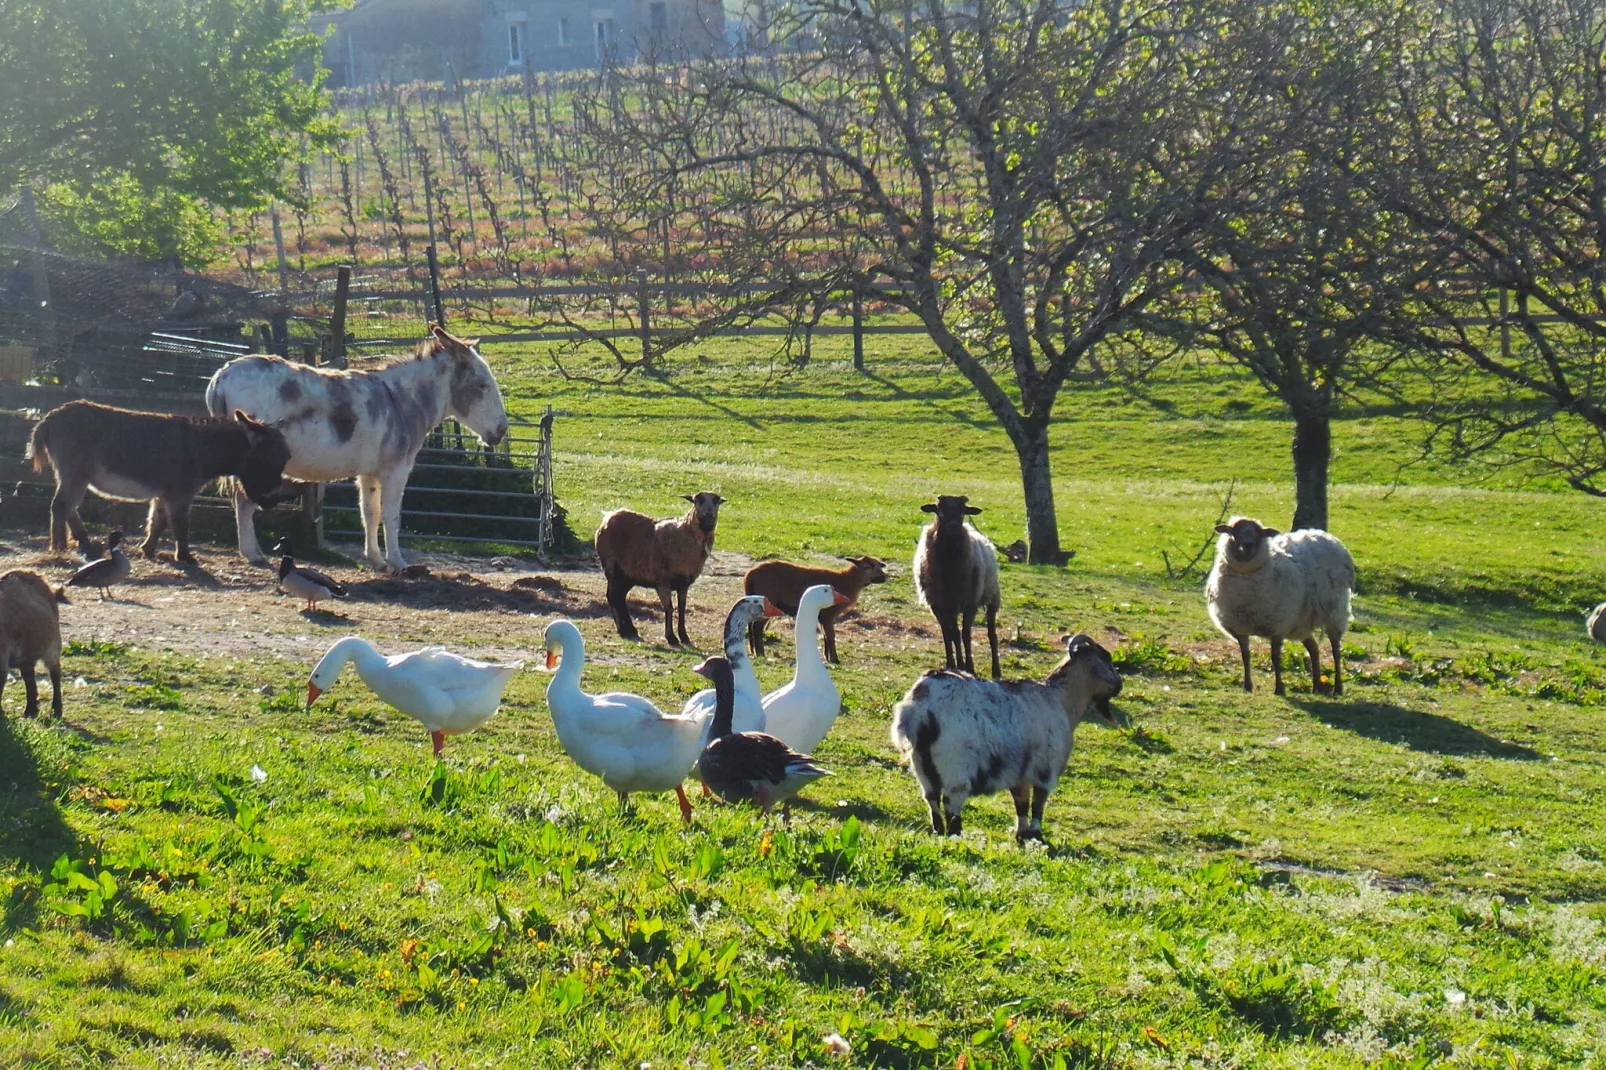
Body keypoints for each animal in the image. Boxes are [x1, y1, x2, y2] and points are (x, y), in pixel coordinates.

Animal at [0, 565, 69, 716]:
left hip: (53, 645)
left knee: (55, 673)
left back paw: (56, 710)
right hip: (27, 653)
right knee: (29, 678)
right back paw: (30, 711)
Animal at [597, 488, 729, 642]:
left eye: (717, 501)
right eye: (698, 500)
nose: (709, 516)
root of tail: (608, 517)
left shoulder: (683, 583)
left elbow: (682, 608)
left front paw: (684, 635)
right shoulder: (662, 581)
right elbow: (669, 608)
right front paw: (671, 637)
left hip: (628, 574)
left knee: (620, 597)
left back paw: (631, 629)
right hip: (612, 567)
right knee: (612, 596)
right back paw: (622, 630)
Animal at [741, 552, 892, 661]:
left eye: (879, 565)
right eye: (867, 567)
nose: (884, 577)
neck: (847, 581)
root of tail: (749, 575)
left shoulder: (821, 615)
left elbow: (825, 634)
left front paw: (827, 656)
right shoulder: (828, 614)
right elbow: (830, 634)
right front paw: (835, 659)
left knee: (751, 625)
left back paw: (753, 651)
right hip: (769, 602)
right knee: (757, 627)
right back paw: (760, 654)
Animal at [912, 494, 995, 674]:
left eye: (964, 511)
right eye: (939, 509)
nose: (954, 527)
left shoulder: (969, 602)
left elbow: (965, 634)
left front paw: (969, 667)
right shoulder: (939, 604)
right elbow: (948, 634)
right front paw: (952, 664)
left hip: (992, 596)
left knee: (992, 633)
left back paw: (996, 670)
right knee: (954, 633)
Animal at [1207, 514, 1355, 697]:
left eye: (1259, 533)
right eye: (1234, 531)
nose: (1248, 545)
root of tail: (1324, 536)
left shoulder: (1277, 626)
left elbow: (1275, 657)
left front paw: (1279, 688)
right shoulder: (1240, 628)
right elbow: (1245, 656)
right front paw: (1247, 685)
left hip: (1335, 614)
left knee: (1336, 650)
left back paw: (1338, 688)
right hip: (1301, 622)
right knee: (1314, 649)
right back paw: (1316, 686)